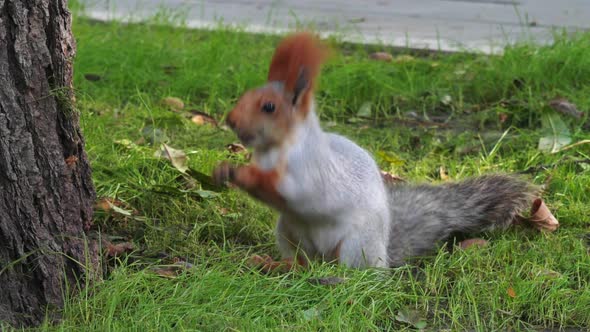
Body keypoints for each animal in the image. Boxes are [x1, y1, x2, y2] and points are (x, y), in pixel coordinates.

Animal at [213, 31, 540, 270]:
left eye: (269, 107)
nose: (231, 119)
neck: (277, 148)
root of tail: (383, 255)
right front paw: (222, 169)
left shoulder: (307, 171)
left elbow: (287, 190)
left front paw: (240, 173)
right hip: (289, 232)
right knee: (302, 262)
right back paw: (274, 264)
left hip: (355, 243)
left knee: (353, 271)